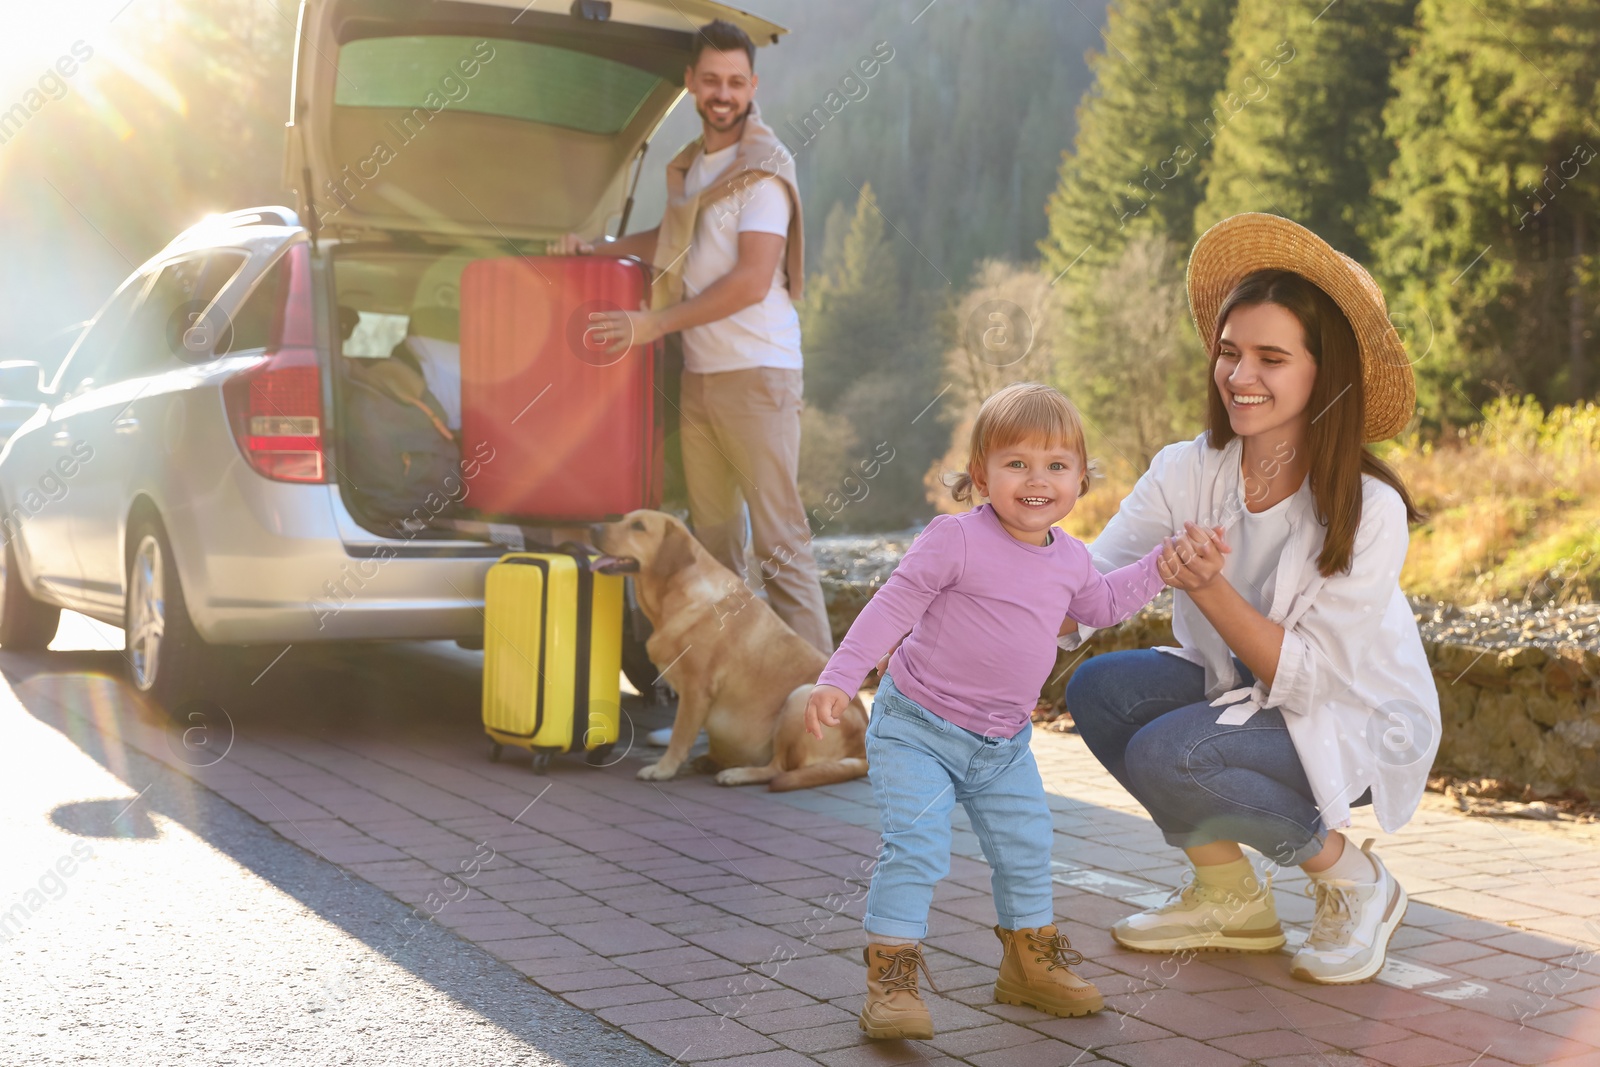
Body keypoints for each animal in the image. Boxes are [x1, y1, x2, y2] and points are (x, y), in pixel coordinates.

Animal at [592, 508, 870, 793]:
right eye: (623, 519)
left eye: (638, 526)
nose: (592, 528)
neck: (673, 596)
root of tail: (861, 752)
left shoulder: (696, 689)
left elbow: (680, 736)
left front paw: (663, 769)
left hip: (800, 699)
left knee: (778, 769)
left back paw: (737, 773)